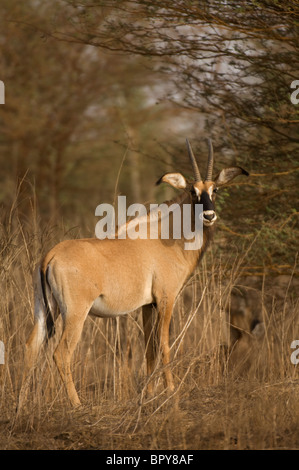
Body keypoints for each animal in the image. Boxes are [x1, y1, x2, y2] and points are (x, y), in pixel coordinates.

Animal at [18, 140, 248, 408]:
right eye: (193, 192)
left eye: (215, 190)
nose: (209, 216)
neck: (168, 235)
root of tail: (49, 256)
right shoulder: (166, 298)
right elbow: (164, 343)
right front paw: (171, 390)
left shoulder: (148, 305)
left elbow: (149, 347)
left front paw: (148, 393)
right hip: (75, 313)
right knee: (61, 353)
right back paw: (77, 405)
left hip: (45, 310)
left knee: (31, 347)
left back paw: (20, 406)